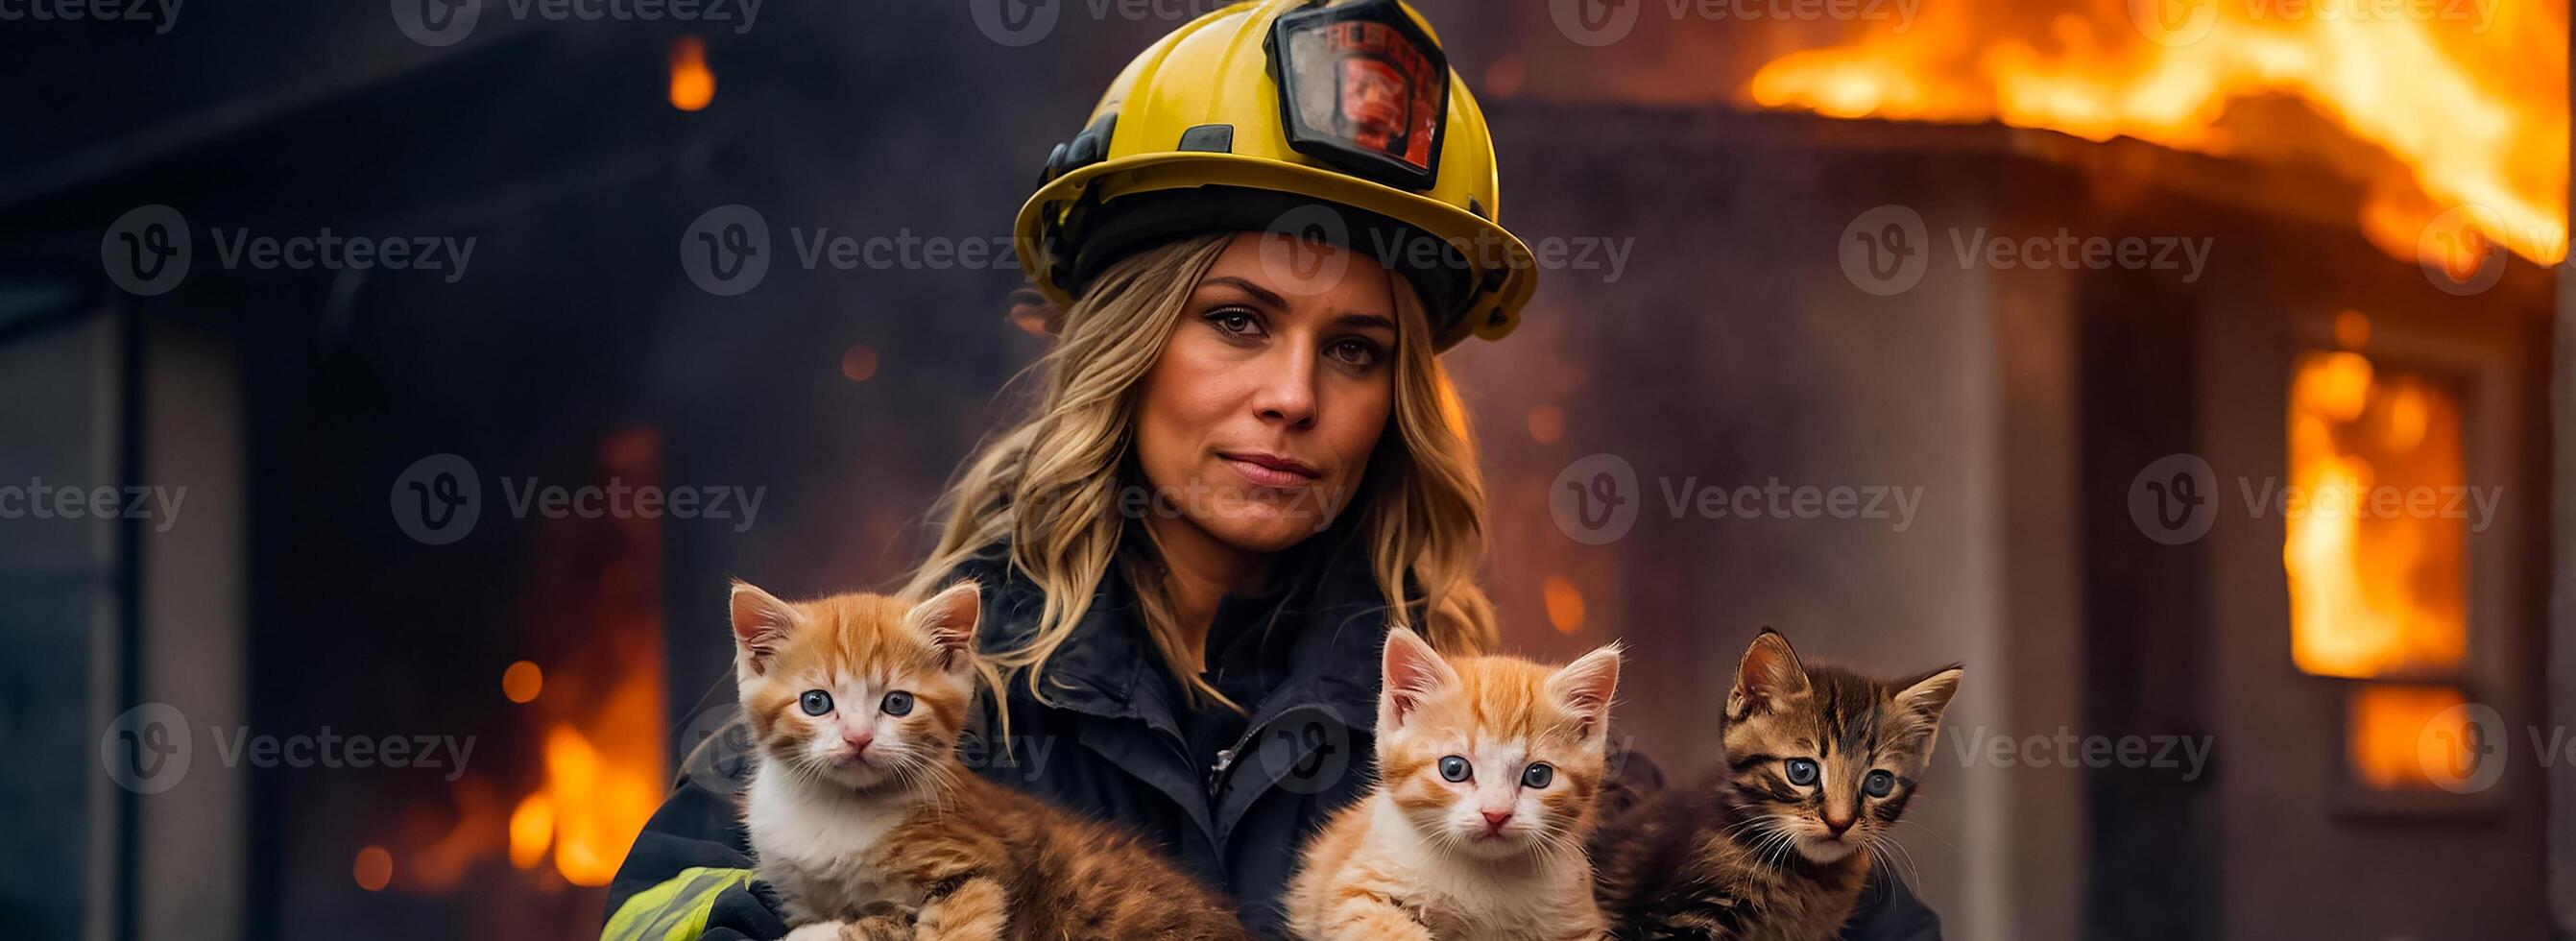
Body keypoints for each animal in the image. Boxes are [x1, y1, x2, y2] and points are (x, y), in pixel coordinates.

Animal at [731, 580, 1251, 938]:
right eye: (816, 702)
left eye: (897, 703)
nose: (858, 738)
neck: (838, 807)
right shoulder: (794, 884)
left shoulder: (976, 871)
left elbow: (925, 927)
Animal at [1288, 623, 1627, 938]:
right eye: (1454, 769)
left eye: (1538, 775)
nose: (1496, 814)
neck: (1486, 875)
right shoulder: (1356, 888)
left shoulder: (1576, 914)